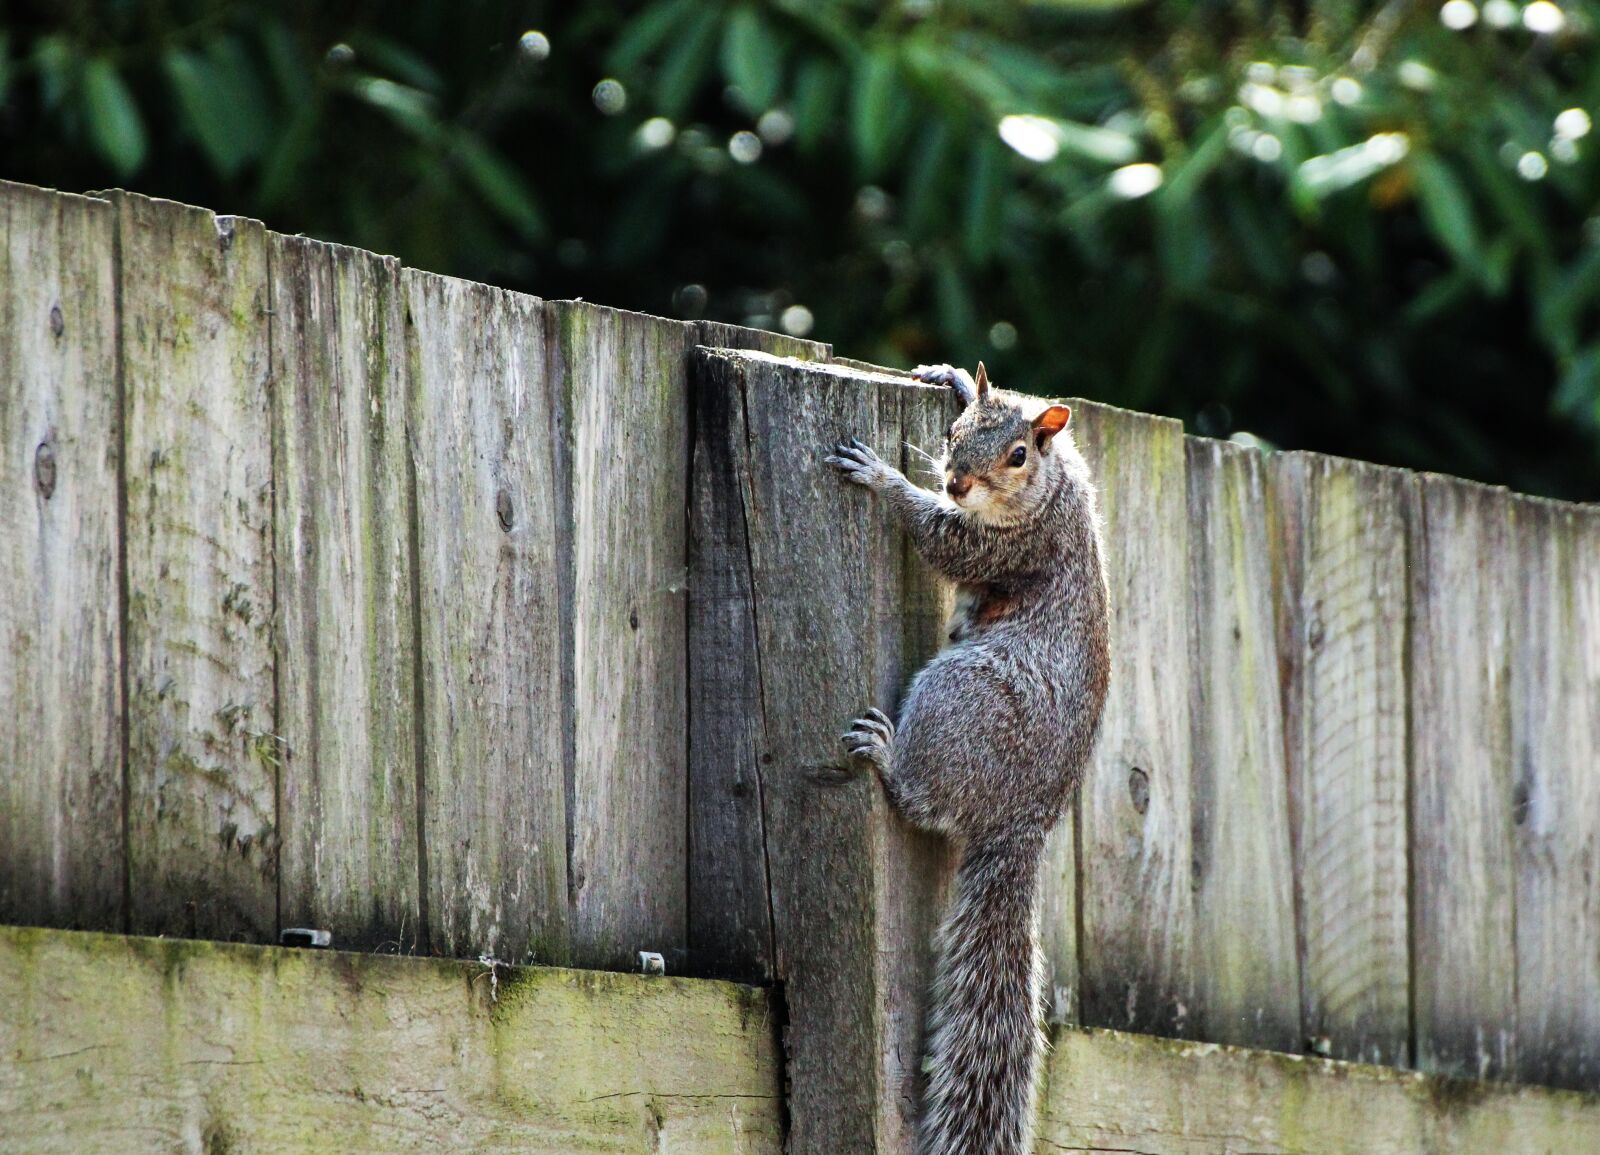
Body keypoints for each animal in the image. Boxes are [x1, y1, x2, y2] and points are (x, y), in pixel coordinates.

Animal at [825, 361, 1111, 1155]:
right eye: (954, 433)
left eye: (1016, 456)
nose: (954, 483)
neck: (1052, 486)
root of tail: (1024, 821)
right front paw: (951, 375)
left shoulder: (1011, 546)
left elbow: (943, 542)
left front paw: (882, 477)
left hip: (959, 699)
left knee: (920, 796)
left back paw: (888, 755)